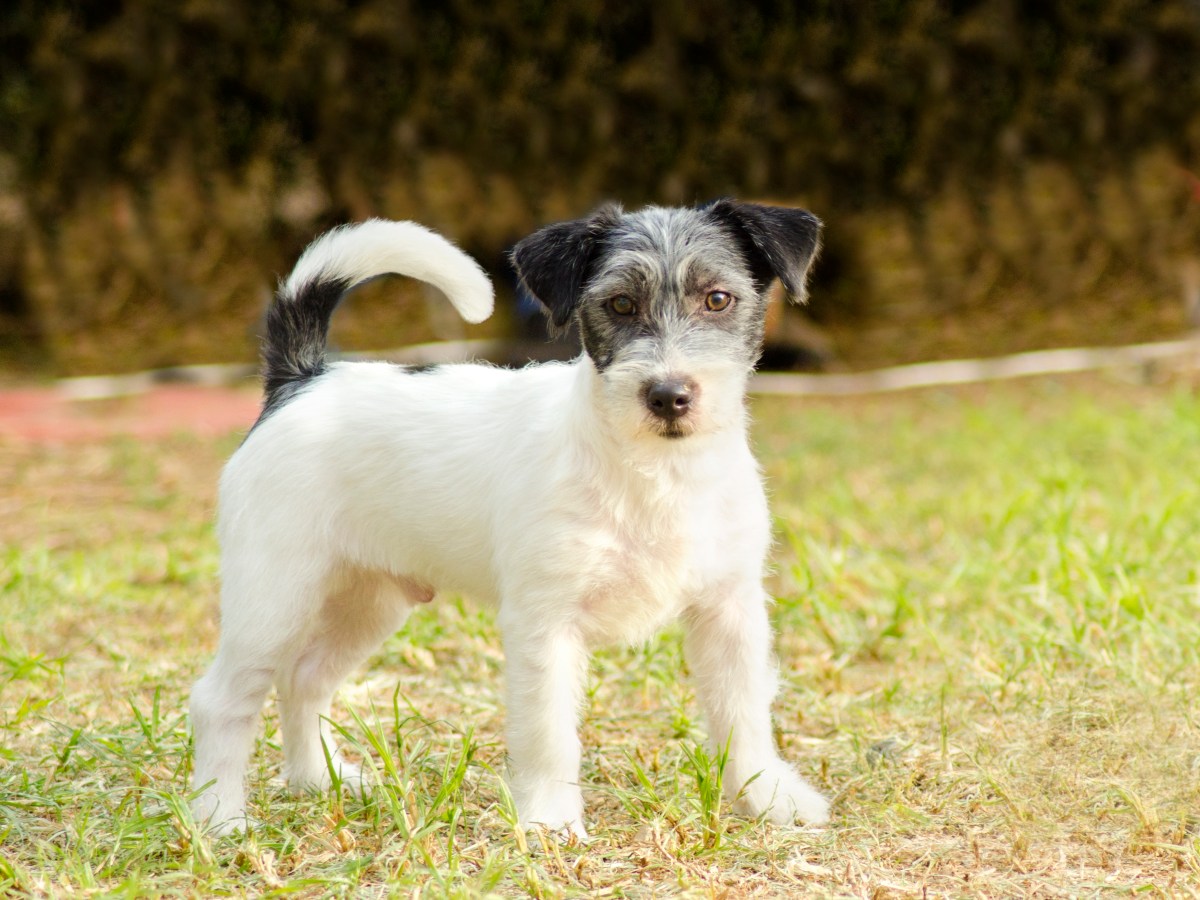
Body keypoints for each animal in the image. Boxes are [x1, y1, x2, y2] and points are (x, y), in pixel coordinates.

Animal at [192, 202, 830, 840]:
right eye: (621, 303)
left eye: (718, 299)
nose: (669, 394)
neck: (657, 473)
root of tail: (302, 381)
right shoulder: (545, 624)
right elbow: (550, 734)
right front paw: (552, 822)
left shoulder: (730, 611)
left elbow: (743, 716)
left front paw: (768, 797)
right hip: (275, 599)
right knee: (221, 700)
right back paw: (219, 815)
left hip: (366, 602)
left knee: (304, 681)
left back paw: (319, 780)